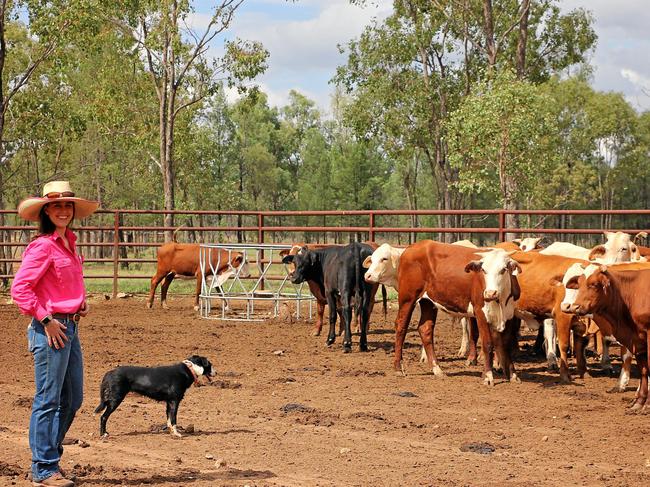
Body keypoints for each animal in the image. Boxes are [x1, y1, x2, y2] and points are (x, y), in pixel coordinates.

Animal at [392, 242, 520, 386]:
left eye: (503, 269)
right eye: (483, 270)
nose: (490, 293)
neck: (500, 301)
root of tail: (412, 247)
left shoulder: (509, 315)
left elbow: (506, 345)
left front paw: (513, 375)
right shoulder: (480, 313)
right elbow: (487, 344)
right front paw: (488, 376)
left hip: (428, 302)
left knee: (425, 329)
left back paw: (437, 369)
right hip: (407, 298)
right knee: (401, 327)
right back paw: (398, 368)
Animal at [560, 266, 648, 412]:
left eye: (594, 284)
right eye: (578, 284)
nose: (573, 307)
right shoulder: (637, 340)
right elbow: (644, 369)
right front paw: (639, 402)